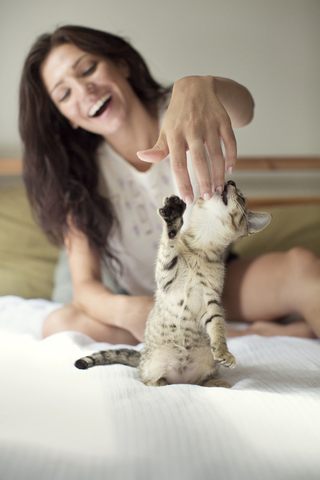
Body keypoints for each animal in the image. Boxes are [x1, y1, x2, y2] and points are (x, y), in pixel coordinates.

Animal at [76, 182, 272, 388]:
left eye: (242, 197)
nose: (231, 182)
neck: (202, 248)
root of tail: (181, 379)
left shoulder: (211, 300)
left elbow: (218, 324)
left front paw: (223, 351)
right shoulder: (166, 276)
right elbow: (168, 246)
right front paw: (173, 216)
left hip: (205, 366)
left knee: (198, 382)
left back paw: (216, 382)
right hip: (153, 364)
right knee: (147, 379)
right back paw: (159, 383)